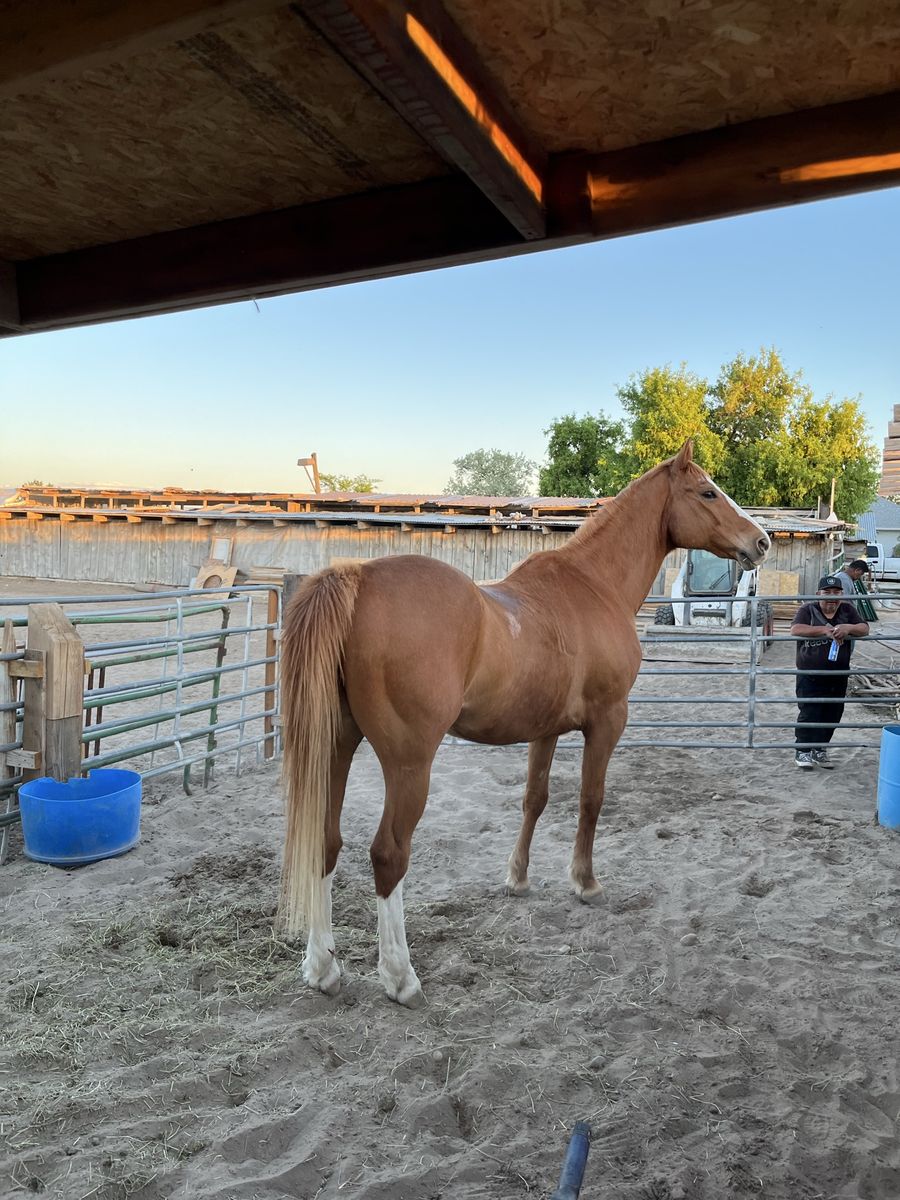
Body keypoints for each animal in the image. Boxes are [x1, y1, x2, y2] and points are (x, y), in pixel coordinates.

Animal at [278, 441, 769, 1006]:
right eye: (708, 492)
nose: (761, 541)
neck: (594, 587)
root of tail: (358, 578)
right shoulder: (608, 720)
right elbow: (591, 799)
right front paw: (585, 882)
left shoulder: (546, 729)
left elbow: (535, 798)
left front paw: (517, 878)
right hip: (408, 764)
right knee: (388, 854)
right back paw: (401, 977)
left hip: (336, 746)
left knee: (326, 842)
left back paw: (322, 968)